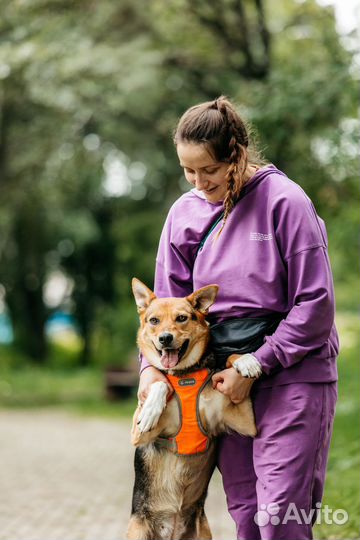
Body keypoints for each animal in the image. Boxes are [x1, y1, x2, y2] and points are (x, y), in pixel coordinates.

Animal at [126, 278, 256, 540]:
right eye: (154, 320)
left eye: (182, 318)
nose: (165, 338)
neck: (184, 374)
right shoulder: (137, 434)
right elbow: (159, 384)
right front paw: (152, 409)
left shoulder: (246, 420)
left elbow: (227, 359)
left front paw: (245, 360)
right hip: (137, 531)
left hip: (203, 531)